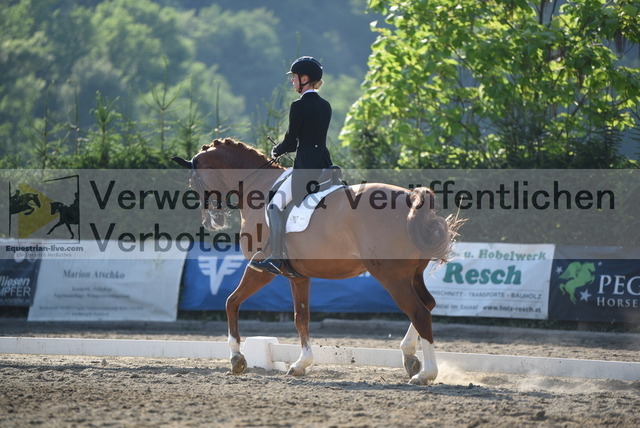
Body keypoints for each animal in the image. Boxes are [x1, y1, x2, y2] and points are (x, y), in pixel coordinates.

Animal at [172, 138, 461, 385]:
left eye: (193, 182)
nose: (212, 221)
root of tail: (409, 198)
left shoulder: (261, 269)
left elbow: (231, 302)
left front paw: (236, 358)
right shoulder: (298, 276)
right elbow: (301, 317)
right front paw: (301, 364)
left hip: (392, 276)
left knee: (419, 311)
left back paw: (425, 374)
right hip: (412, 274)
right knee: (428, 304)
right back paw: (410, 357)